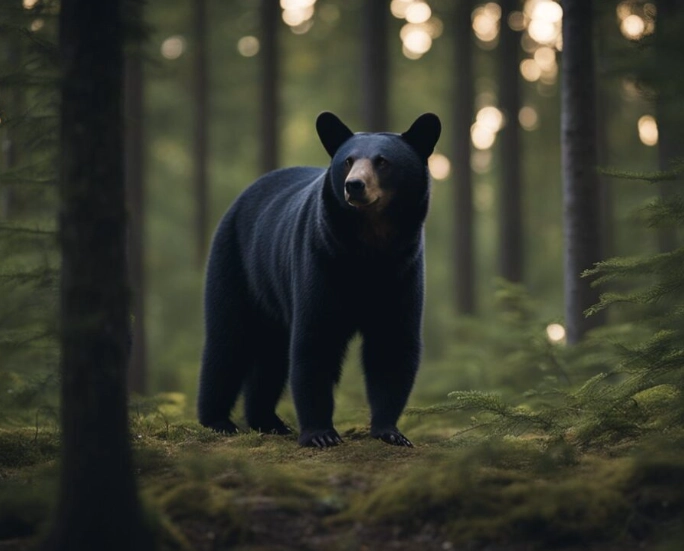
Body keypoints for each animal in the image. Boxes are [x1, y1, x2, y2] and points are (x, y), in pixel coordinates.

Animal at [198, 111, 441, 448]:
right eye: (348, 160)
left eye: (382, 161)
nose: (354, 185)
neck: (370, 250)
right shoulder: (322, 261)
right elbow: (315, 341)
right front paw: (320, 433)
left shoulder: (402, 271)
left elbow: (392, 343)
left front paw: (390, 431)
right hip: (237, 264)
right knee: (227, 341)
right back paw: (218, 421)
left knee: (270, 355)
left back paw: (267, 420)